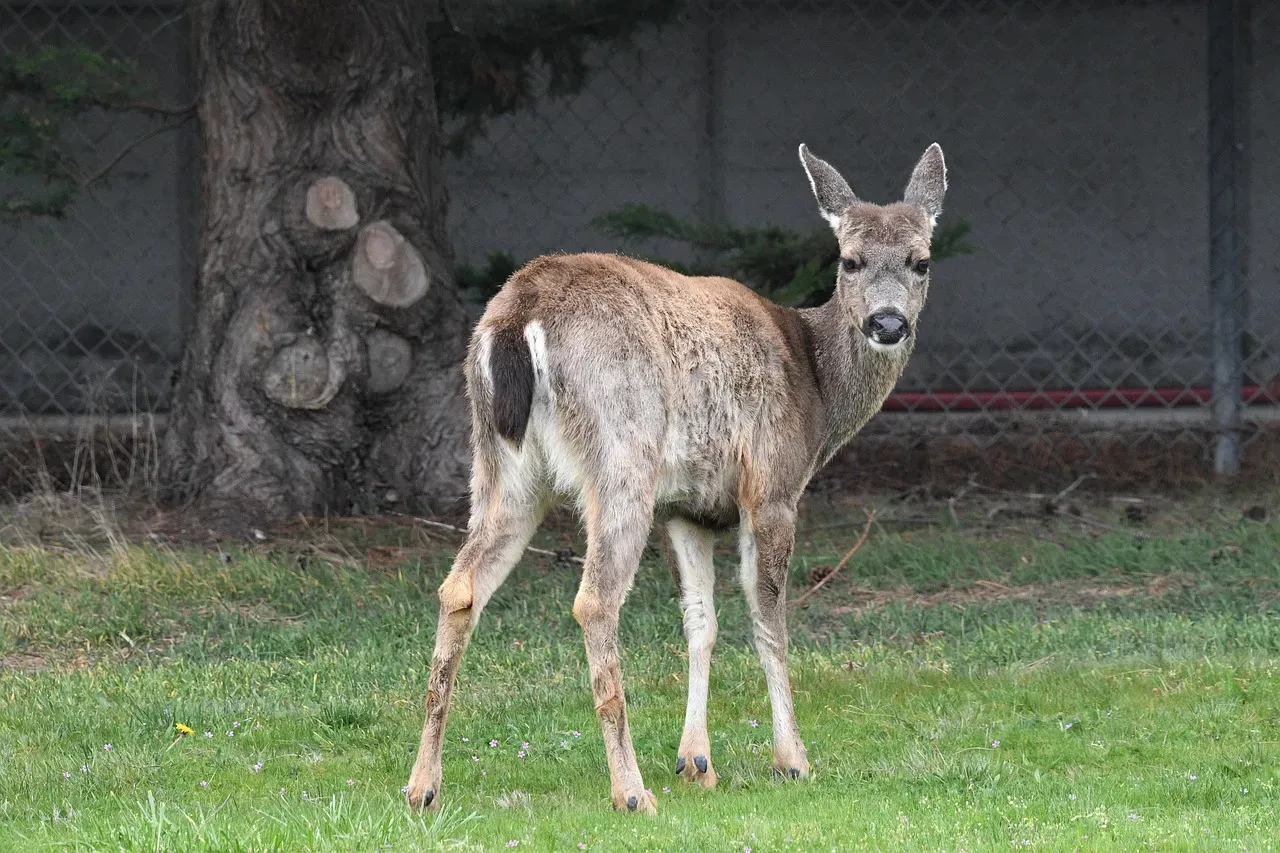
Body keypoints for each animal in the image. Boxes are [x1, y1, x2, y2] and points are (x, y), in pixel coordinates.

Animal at [405, 142, 947, 814]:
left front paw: (697, 762)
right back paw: (631, 791)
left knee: (459, 587)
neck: (818, 386)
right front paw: (792, 759)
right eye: (850, 260)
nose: (888, 323)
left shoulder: (689, 510)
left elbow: (700, 622)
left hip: (501, 465)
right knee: (595, 601)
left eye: (922, 261)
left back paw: (422, 786)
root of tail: (517, 317)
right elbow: (769, 618)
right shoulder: (771, 486)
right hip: (622, 456)